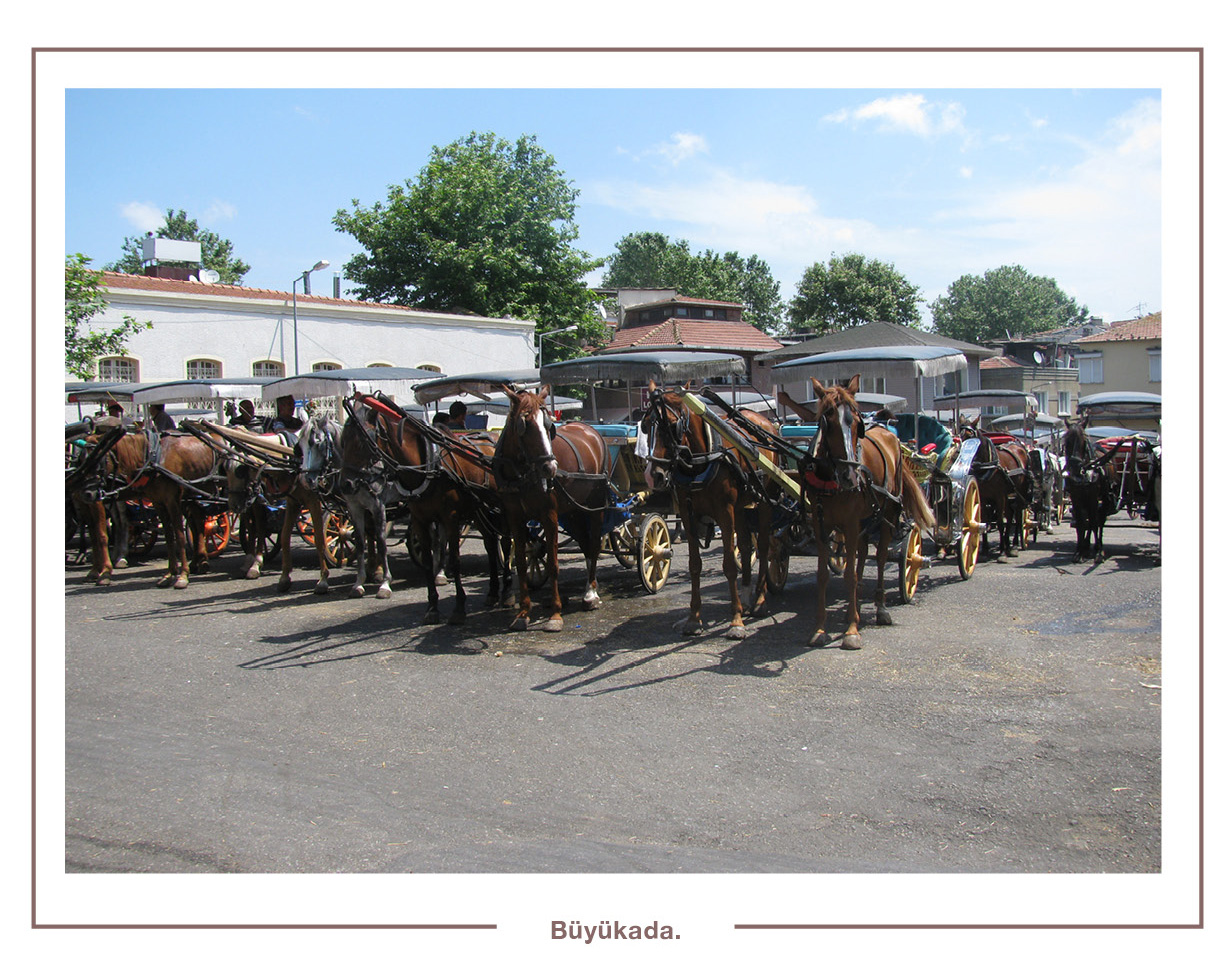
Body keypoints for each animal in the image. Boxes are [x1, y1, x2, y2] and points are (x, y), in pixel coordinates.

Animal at [352, 394, 509, 628]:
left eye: (363, 437)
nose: (348, 483)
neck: (428, 465)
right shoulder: (420, 520)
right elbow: (427, 561)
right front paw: (432, 608)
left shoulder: (450, 518)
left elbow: (454, 560)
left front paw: (459, 608)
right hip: (480, 512)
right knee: (491, 544)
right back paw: (492, 592)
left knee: (506, 543)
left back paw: (507, 592)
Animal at [494, 384, 610, 635]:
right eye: (524, 424)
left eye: (549, 426)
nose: (550, 467)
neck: (522, 473)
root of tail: (590, 429)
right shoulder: (515, 517)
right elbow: (520, 563)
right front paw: (523, 613)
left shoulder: (549, 516)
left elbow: (555, 564)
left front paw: (555, 614)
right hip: (574, 510)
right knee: (585, 544)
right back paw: (589, 588)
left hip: (595, 505)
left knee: (594, 545)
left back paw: (591, 593)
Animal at [640, 381, 782, 640]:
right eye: (645, 427)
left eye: (672, 426)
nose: (653, 475)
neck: (698, 461)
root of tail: (764, 422)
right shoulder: (688, 516)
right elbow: (695, 565)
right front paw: (693, 618)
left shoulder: (725, 513)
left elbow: (729, 565)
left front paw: (736, 621)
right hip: (742, 507)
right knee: (745, 545)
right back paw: (746, 596)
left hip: (765, 501)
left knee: (765, 547)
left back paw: (759, 600)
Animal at [797, 376, 930, 650]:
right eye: (826, 421)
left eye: (857, 424)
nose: (850, 476)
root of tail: (887, 432)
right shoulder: (822, 524)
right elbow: (824, 575)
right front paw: (820, 628)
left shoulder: (849, 522)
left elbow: (849, 574)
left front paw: (851, 631)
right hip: (866, 518)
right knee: (861, 553)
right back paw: (855, 606)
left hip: (888, 512)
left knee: (879, 558)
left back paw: (880, 608)